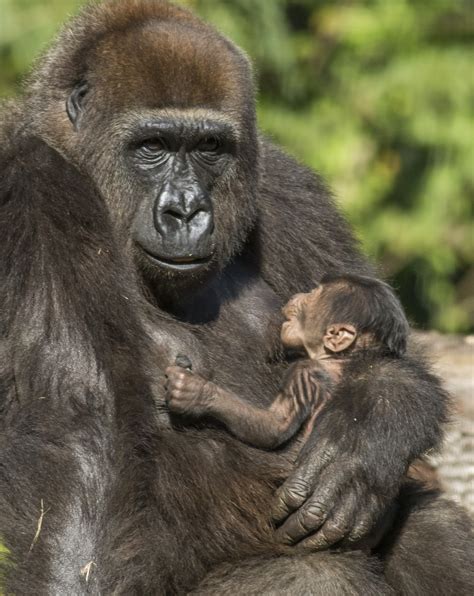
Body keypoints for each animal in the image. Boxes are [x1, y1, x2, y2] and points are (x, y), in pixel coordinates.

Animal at [166, 274, 408, 448]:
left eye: (312, 296)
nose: (297, 295)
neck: (335, 357)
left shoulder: (303, 373)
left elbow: (275, 426)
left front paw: (196, 393)